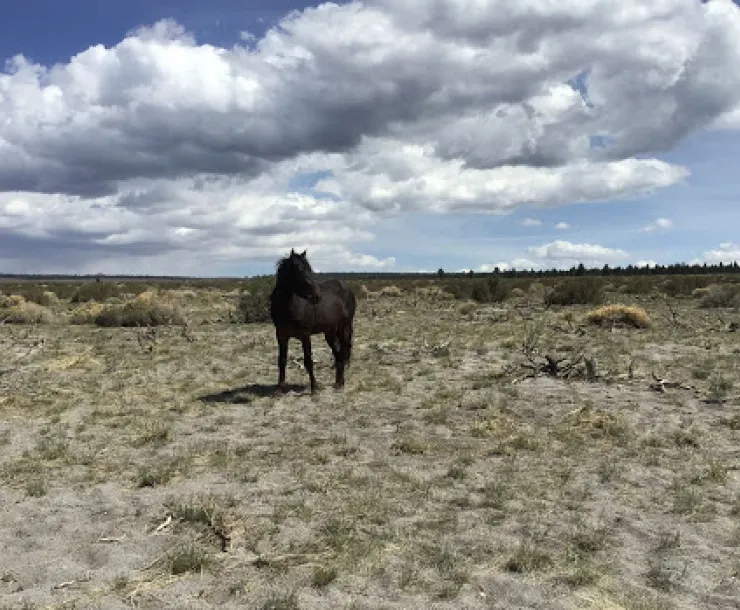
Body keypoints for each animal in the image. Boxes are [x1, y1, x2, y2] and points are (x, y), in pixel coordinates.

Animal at [270, 249, 357, 394]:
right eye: (299, 270)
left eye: (309, 269)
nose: (316, 296)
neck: (288, 308)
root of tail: (346, 287)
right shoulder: (281, 336)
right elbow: (282, 360)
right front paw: (280, 388)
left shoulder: (305, 335)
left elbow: (308, 360)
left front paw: (314, 387)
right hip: (330, 331)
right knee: (338, 353)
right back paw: (338, 383)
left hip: (344, 327)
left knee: (343, 352)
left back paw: (340, 383)